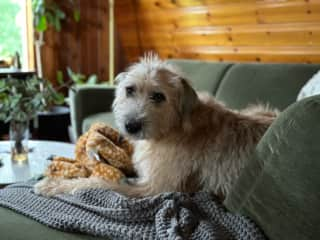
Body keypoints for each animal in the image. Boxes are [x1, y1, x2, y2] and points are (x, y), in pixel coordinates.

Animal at [33, 54, 276, 199]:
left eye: (158, 96)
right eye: (129, 90)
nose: (130, 126)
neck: (173, 128)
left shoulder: (154, 188)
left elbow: (99, 183)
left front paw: (55, 185)